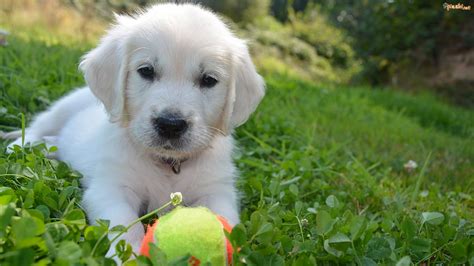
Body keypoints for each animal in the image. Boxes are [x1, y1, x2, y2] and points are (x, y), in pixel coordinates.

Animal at [6, 3, 262, 255]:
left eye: (209, 80)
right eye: (146, 70)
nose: (170, 124)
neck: (168, 164)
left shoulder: (216, 190)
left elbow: (224, 221)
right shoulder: (112, 186)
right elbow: (125, 223)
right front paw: (129, 255)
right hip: (63, 107)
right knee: (37, 128)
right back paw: (20, 145)